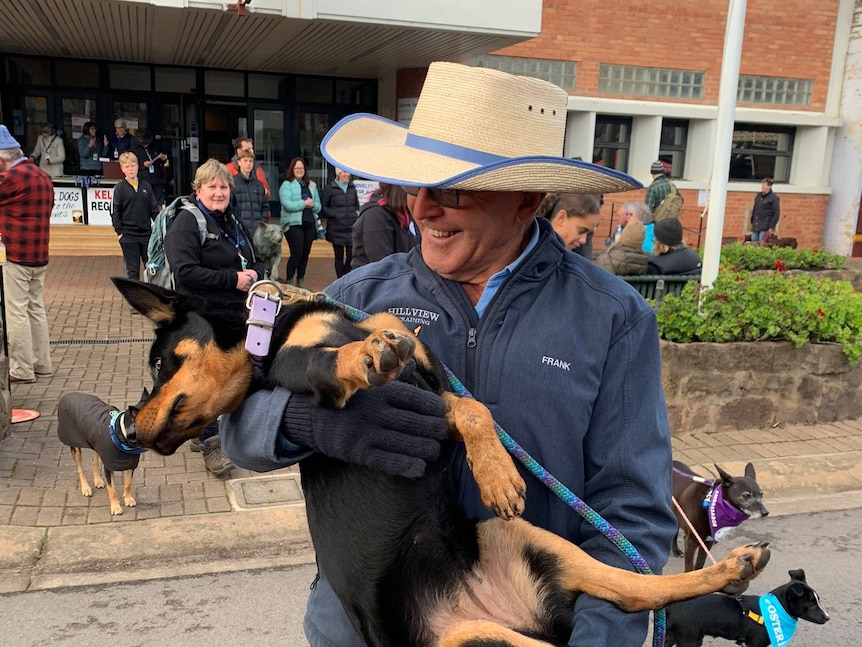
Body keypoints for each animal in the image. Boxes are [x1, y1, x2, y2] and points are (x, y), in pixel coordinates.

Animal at [668, 568, 832, 644]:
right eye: (811, 605)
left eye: (818, 600)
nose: (827, 618)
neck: (775, 609)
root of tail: (671, 608)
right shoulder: (756, 644)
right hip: (690, 639)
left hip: (673, 637)